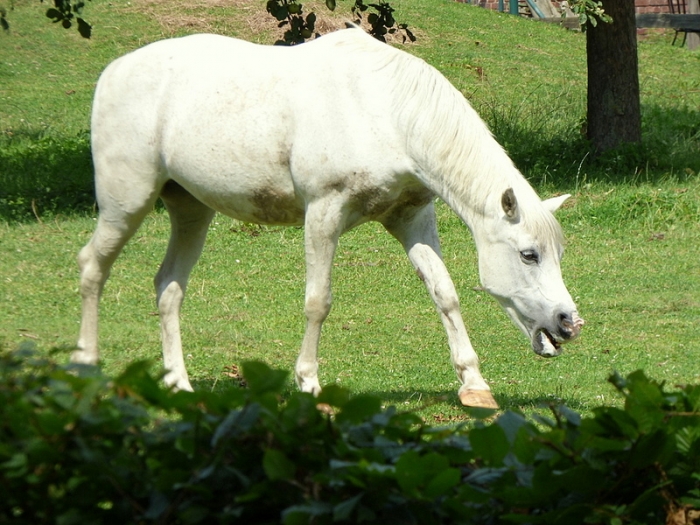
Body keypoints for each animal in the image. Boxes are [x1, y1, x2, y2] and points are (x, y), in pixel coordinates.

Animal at [73, 28, 584, 408]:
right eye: (529, 254)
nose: (569, 324)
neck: (385, 110)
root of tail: (114, 71)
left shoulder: (411, 217)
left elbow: (445, 293)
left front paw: (473, 384)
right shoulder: (323, 214)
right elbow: (318, 302)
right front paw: (309, 384)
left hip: (190, 211)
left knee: (168, 288)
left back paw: (178, 383)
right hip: (127, 203)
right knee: (92, 267)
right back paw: (86, 366)